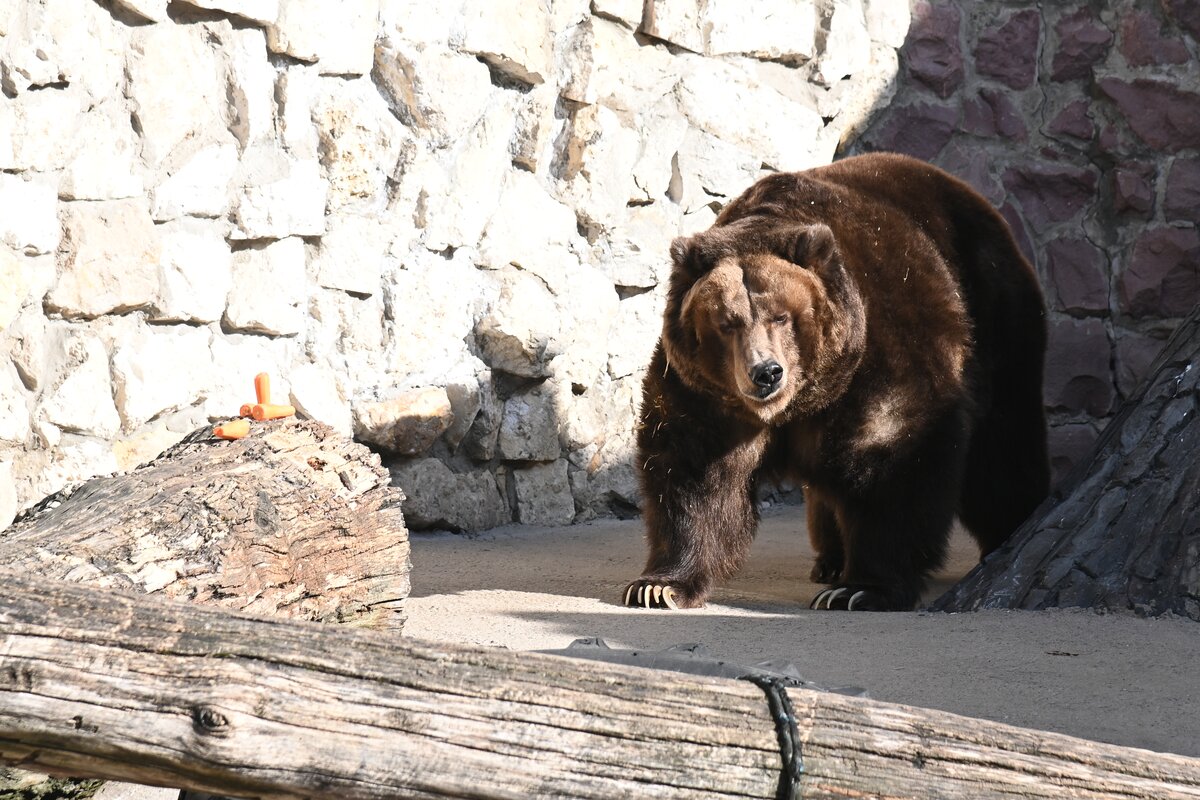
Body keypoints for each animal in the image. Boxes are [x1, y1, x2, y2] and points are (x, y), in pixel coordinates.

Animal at [624, 151, 1046, 614]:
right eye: (727, 322)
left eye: (780, 316)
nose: (766, 372)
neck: (805, 400)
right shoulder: (706, 395)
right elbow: (695, 475)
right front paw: (659, 585)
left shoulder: (881, 357)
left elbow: (893, 459)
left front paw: (860, 589)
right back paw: (829, 560)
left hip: (994, 321)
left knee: (1001, 448)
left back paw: (1010, 531)